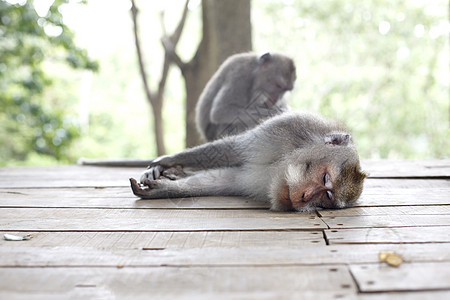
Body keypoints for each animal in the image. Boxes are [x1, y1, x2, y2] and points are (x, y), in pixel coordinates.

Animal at [128, 111, 368, 212]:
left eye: (326, 198)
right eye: (325, 177)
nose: (304, 198)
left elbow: (225, 180)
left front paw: (163, 188)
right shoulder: (288, 129)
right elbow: (232, 150)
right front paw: (166, 161)